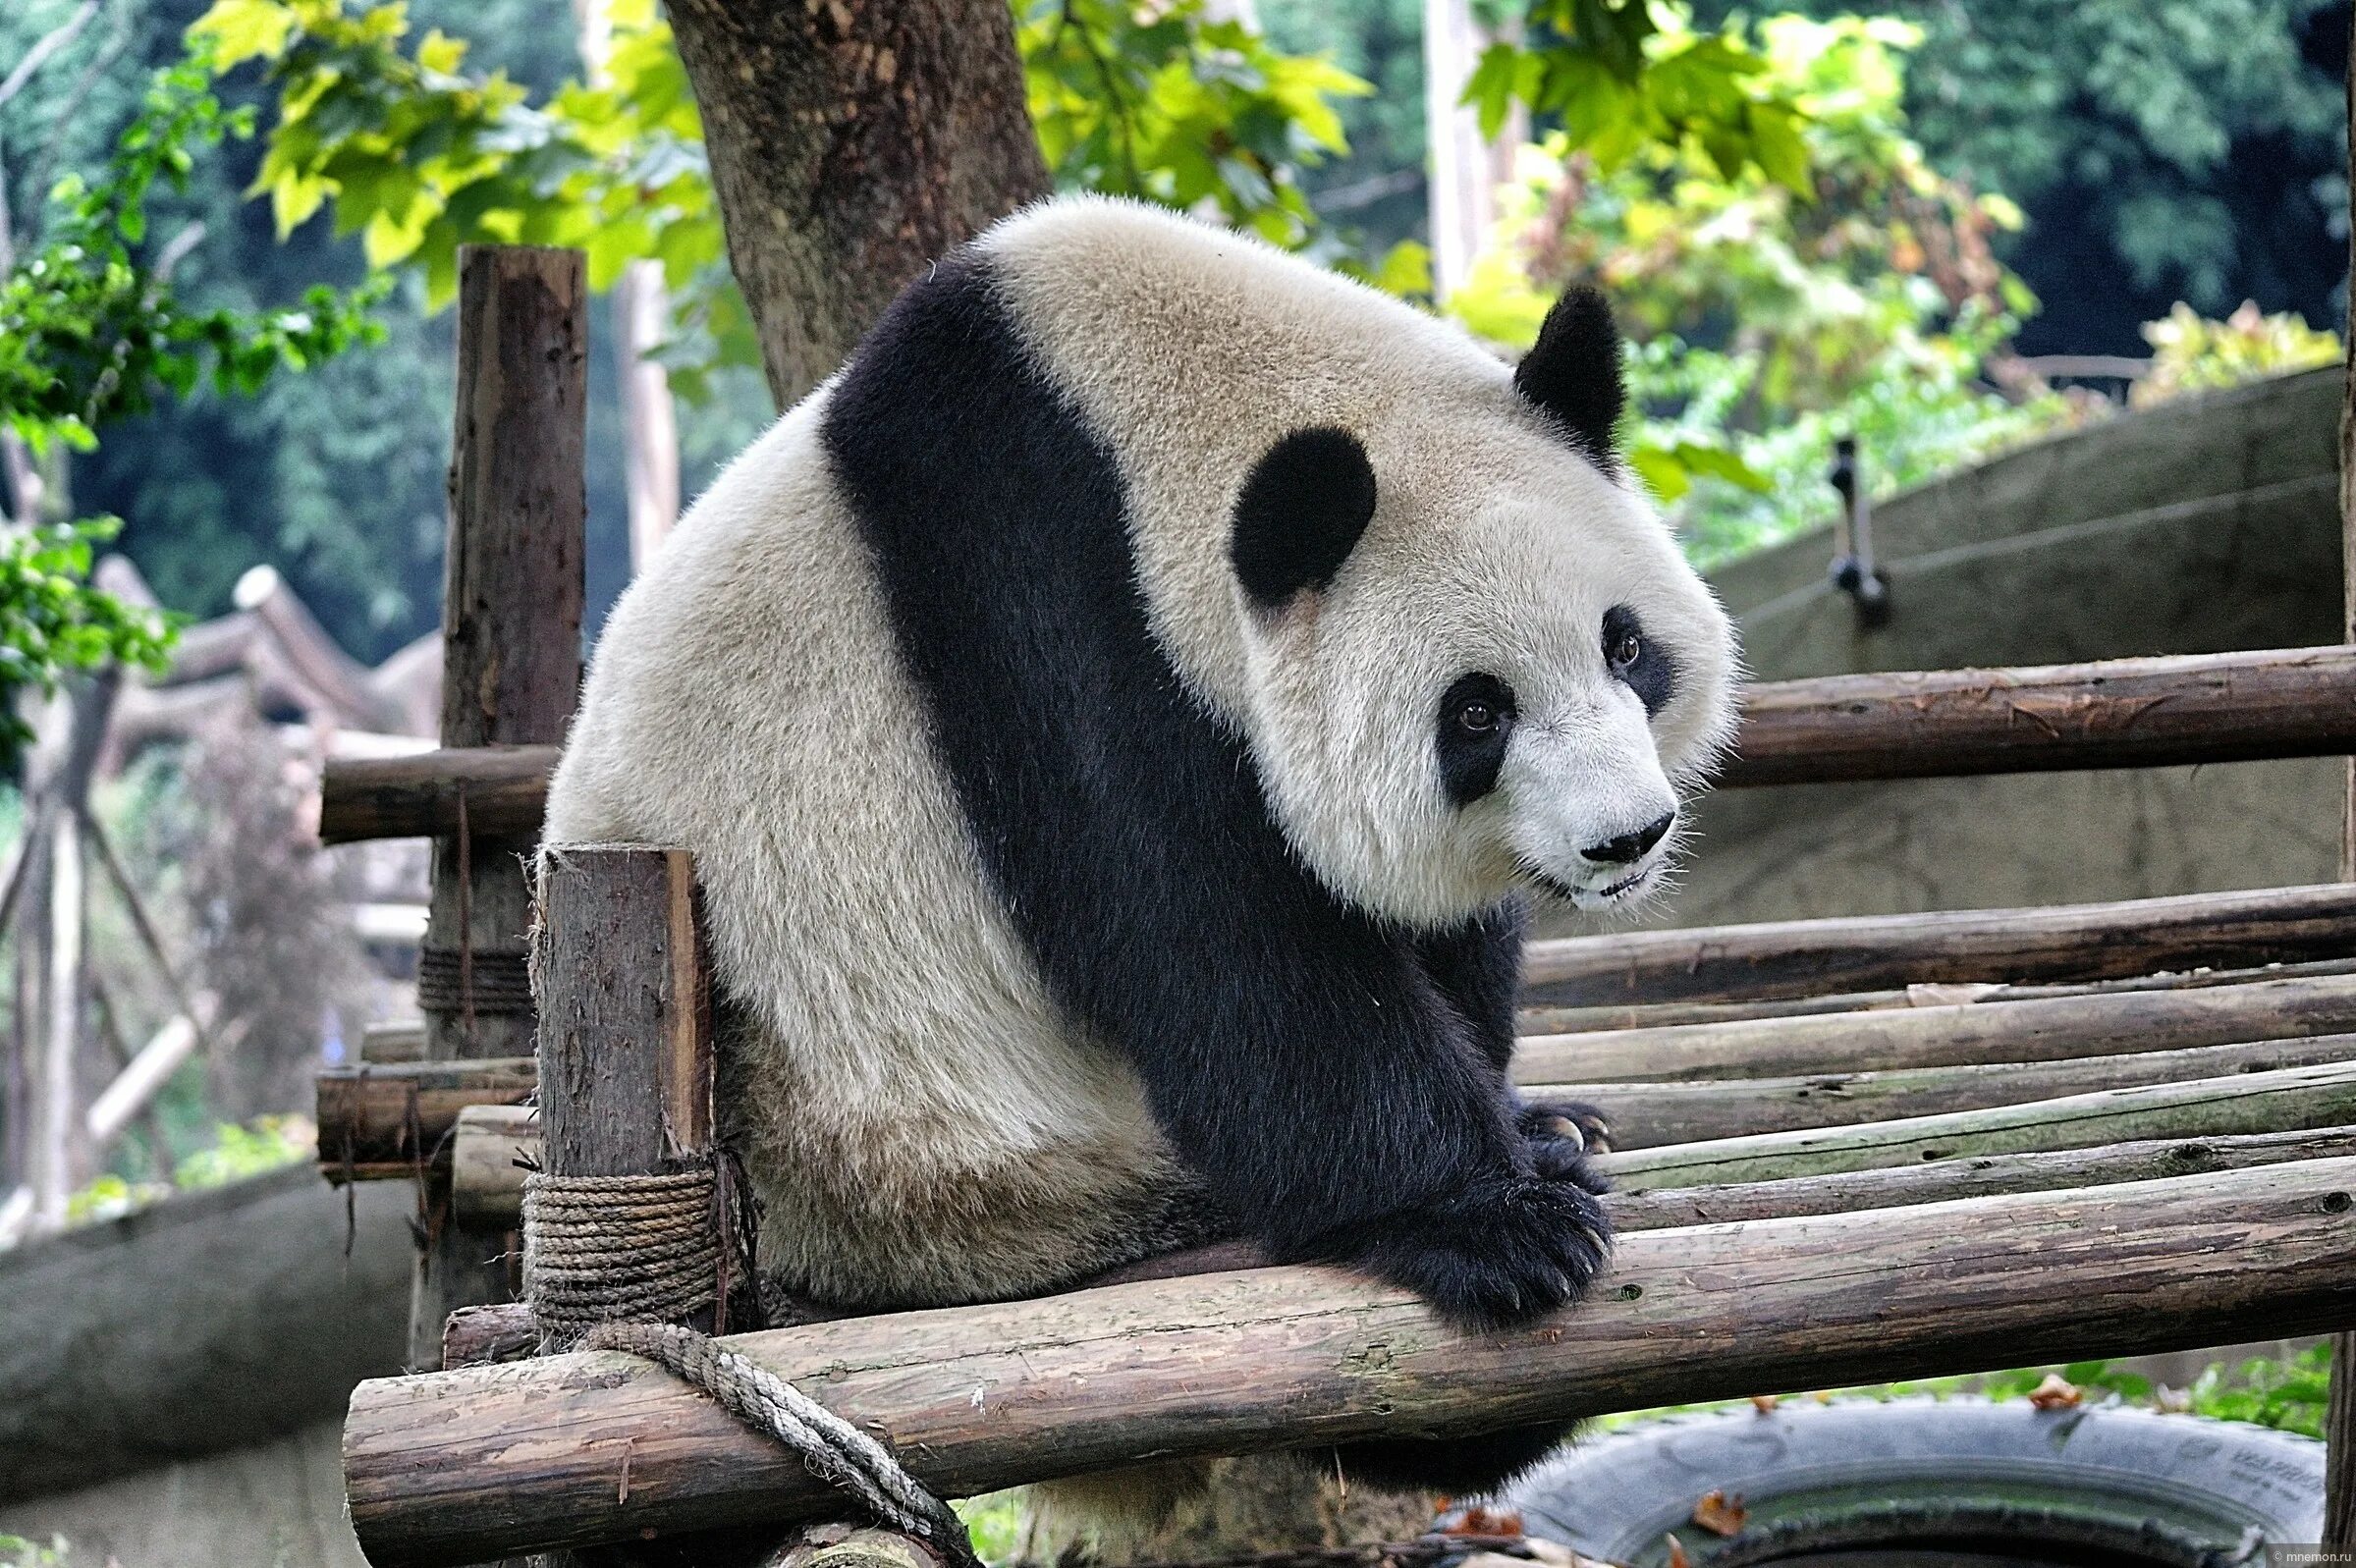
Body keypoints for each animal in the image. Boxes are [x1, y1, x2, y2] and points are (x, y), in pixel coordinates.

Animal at [541, 191, 1743, 1553]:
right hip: (929, 1167)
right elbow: (1217, 949)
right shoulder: (1041, 598)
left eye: (1624, 645)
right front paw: (1500, 1220)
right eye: (1475, 713)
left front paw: (1526, 1125)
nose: (1623, 838)